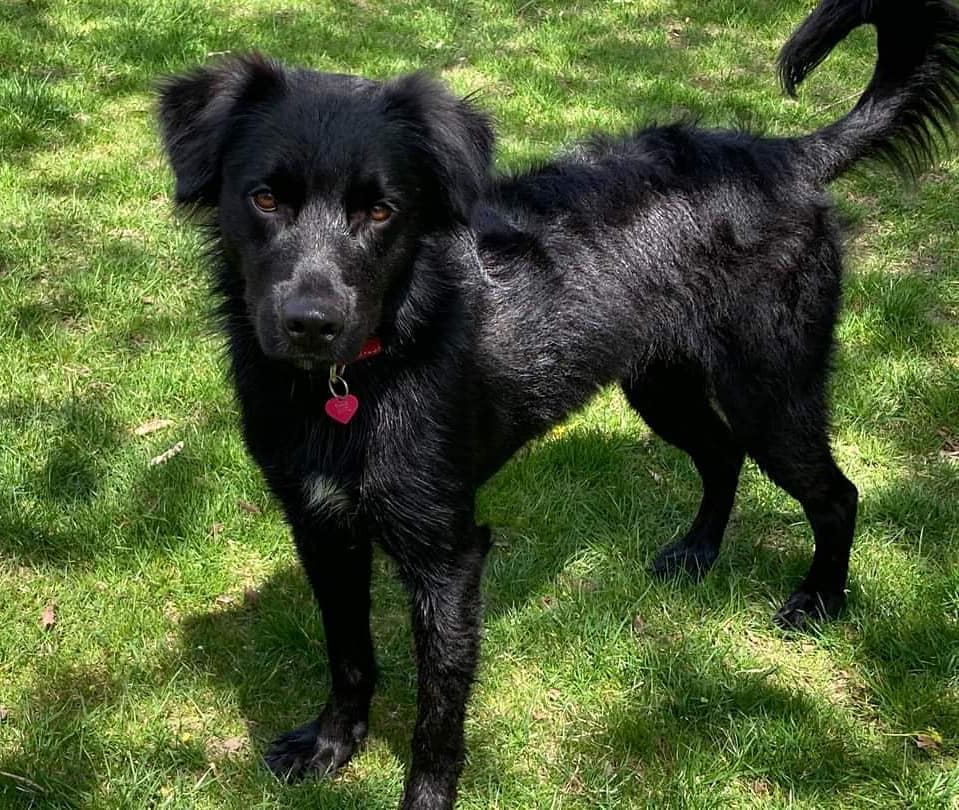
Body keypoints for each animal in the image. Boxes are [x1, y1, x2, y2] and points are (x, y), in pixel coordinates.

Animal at [159, 0, 959, 804]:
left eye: (383, 212)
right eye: (264, 198)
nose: (311, 323)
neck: (357, 376)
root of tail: (787, 159)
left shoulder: (448, 555)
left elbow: (438, 710)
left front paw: (425, 795)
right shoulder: (321, 528)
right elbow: (348, 652)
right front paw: (330, 745)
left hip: (771, 390)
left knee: (836, 494)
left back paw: (820, 601)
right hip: (662, 385)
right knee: (720, 452)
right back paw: (697, 551)